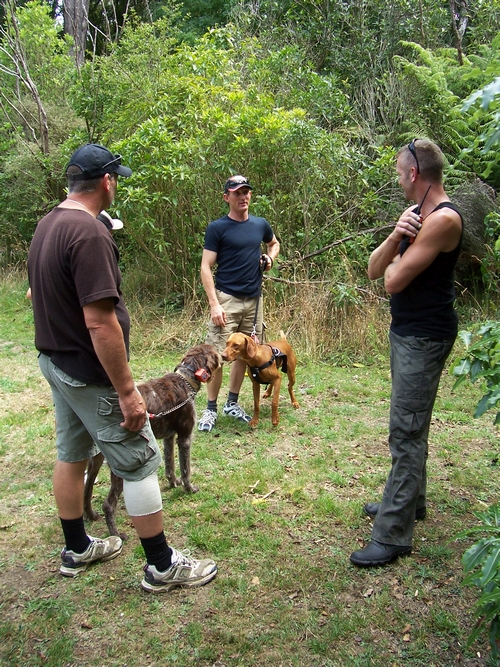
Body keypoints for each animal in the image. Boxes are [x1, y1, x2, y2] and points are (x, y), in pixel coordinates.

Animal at [84, 344, 221, 536]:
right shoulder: (184, 438)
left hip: (95, 460)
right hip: (121, 468)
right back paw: (116, 534)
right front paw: (189, 489)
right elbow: (185, 470)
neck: (185, 378)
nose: (224, 354)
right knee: (108, 505)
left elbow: (170, 466)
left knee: (86, 489)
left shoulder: (169, 438)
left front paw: (173, 483)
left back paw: (90, 515)